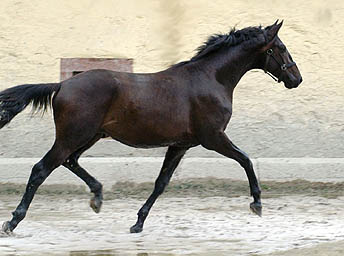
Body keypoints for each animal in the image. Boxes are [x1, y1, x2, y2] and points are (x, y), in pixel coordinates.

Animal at [0, 20, 300, 234]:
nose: (297, 79)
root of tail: (62, 85)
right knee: (41, 169)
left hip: (90, 136)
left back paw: (97, 197)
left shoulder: (180, 145)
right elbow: (246, 160)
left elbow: (161, 183)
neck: (210, 78)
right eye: (281, 48)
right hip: (73, 136)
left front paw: (138, 222)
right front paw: (257, 203)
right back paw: (13, 222)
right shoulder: (213, 137)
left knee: (70, 161)